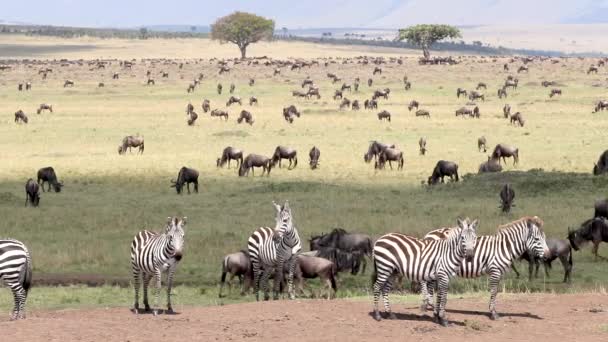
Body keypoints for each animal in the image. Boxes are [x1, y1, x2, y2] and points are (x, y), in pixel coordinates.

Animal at [420, 216, 548, 320]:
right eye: (537, 239)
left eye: (545, 238)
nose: (547, 256)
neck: (504, 247)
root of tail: (428, 234)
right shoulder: (495, 270)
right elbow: (494, 291)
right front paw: (493, 313)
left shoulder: (499, 272)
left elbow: (496, 291)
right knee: (425, 283)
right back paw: (426, 305)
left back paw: (429, 305)